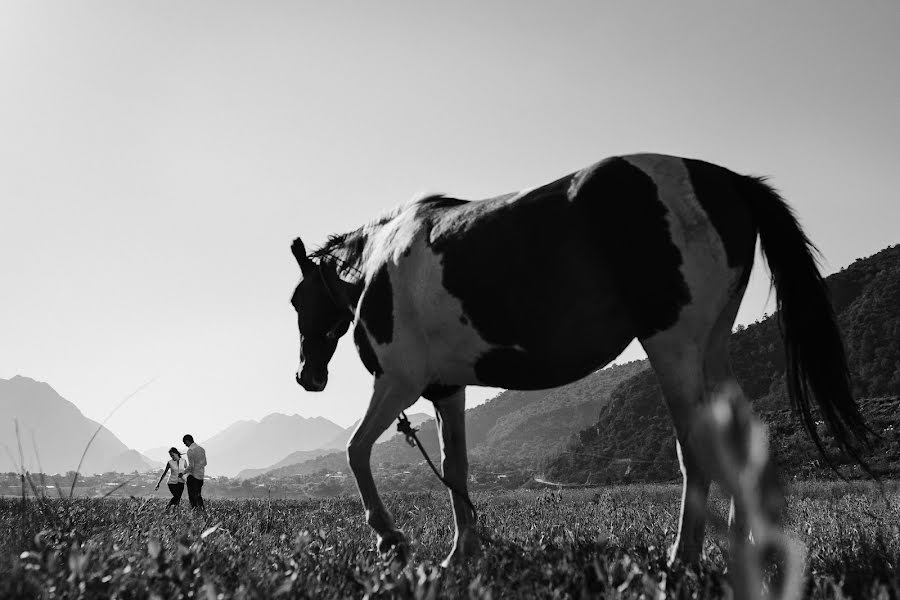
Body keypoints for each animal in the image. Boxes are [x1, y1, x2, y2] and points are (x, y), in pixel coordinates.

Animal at [292, 152, 868, 564]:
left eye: (298, 300)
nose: (306, 376)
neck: (381, 263)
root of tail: (727, 180)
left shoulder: (399, 381)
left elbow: (356, 451)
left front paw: (390, 536)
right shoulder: (446, 389)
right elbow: (456, 470)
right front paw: (462, 553)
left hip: (673, 346)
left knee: (694, 448)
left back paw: (682, 558)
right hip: (712, 350)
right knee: (740, 444)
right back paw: (741, 551)